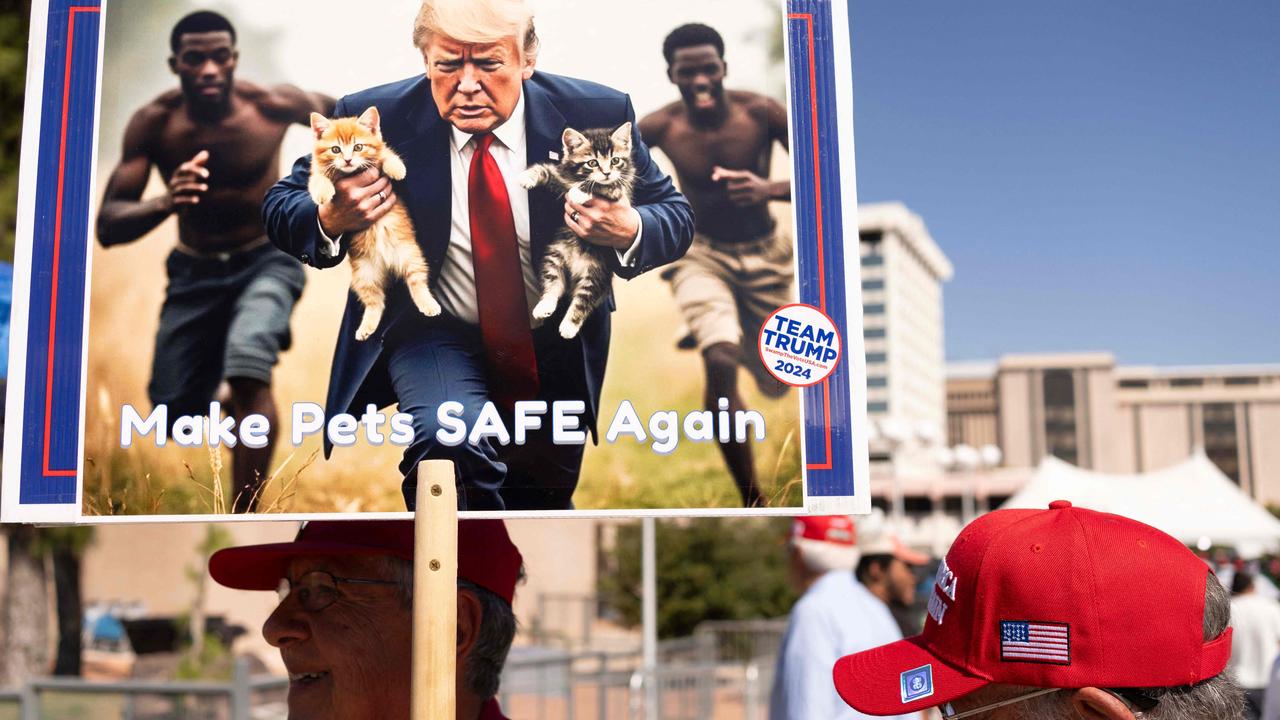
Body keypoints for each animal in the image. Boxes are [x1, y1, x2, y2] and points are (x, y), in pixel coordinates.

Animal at [305, 106, 440, 338]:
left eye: (358, 147)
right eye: (335, 150)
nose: (348, 160)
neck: (350, 173)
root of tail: (387, 264)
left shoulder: (379, 155)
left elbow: (386, 154)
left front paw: (397, 168)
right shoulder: (317, 172)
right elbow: (317, 180)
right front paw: (323, 193)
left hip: (410, 255)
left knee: (417, 281)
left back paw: (428, 304)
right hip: (364, 275)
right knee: (376, 301)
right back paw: (367, 327)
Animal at [517, 121, 637, 338]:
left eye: (615, 160)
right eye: (592, 163)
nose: (606, 172)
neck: (578, 178)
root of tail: (575, 270)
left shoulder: (621, 190)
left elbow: (602, 186)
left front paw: (581, 192)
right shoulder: (561, 178)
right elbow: (546, 170)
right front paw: (527, 177)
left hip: (597, 272)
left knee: (584, 299)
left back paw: (569, 326)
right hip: (555, 255)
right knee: (553, 282)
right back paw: (545, 305)